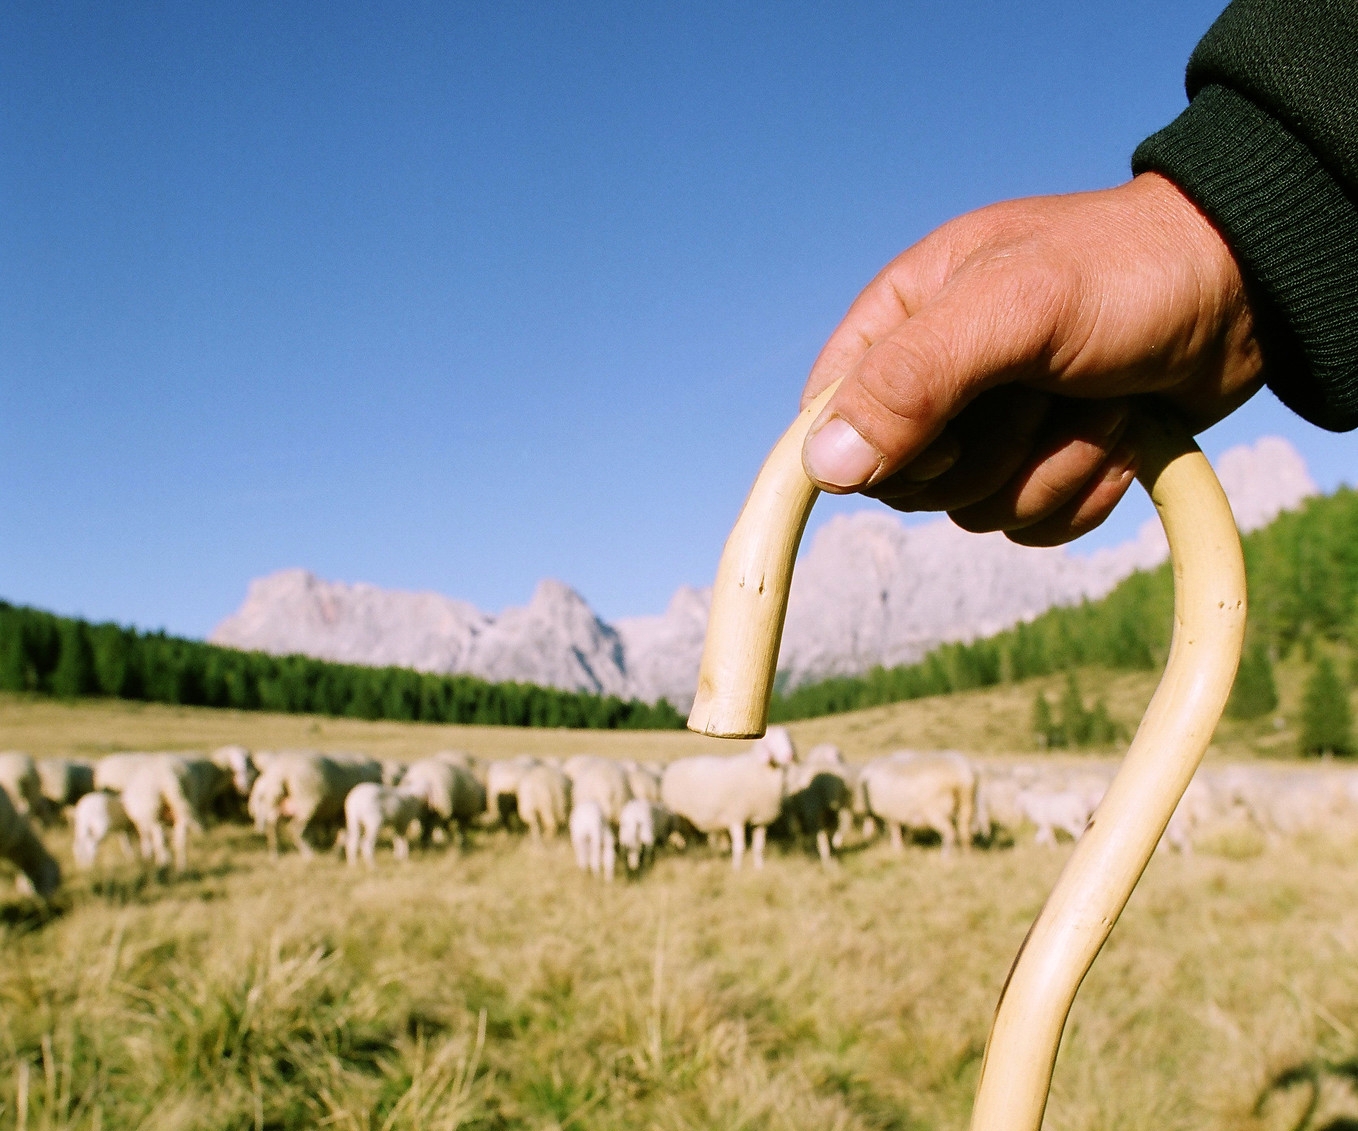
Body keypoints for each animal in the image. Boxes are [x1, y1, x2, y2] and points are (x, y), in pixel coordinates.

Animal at [248, 749, 382, 858]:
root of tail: (282, 772)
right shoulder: (342, 813)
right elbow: (343, 834)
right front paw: (335, 852)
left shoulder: (337, 812)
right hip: (307, 804)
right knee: (294, 829)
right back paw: (308, 853)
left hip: (275, 803)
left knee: (272, 827)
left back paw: (276, 854)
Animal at [659, 727, 793, 868]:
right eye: (771, 742)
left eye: (789, 740)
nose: (789, 756)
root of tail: (673, 767)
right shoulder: (736, 817)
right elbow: (740, 847)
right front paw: (737, 868)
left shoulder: (760, 820)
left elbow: (759, 847)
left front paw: (759, 867)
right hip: (679, 817)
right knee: (682, 838)